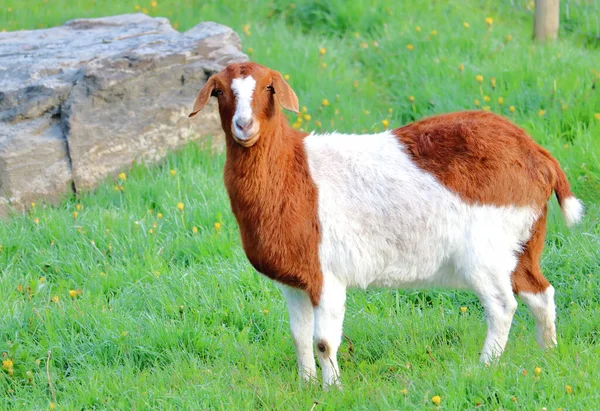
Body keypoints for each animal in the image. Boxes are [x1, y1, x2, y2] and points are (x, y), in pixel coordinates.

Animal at [190, 62, 584, 390]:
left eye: (269, 88)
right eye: (219, 91)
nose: (244, 126)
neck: (291, 170)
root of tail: (538, 156)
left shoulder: (327, 274)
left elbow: (323, 341)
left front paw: (332, 390)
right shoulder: (294, 280)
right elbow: (299, 337)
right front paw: (305, 386)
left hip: (486, 248)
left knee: (503, 305)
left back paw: (483, 367)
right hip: (524, 239)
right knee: (540, 292)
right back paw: (548, 355)